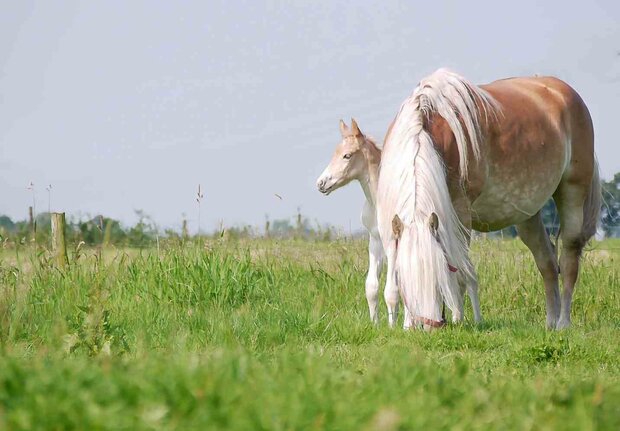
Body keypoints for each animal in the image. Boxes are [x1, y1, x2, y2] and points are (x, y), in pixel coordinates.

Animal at [376, 68, 600, 330]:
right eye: (405, 277)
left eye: (437, 273)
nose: (427, 326)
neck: (428, 131)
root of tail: (564, 92)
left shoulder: (460, 215)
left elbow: (460, 270)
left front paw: (458, 318)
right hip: (528, 215)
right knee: (547, 261)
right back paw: (550, 323)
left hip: (572, 193)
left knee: (568, 259)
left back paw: (563, 322)